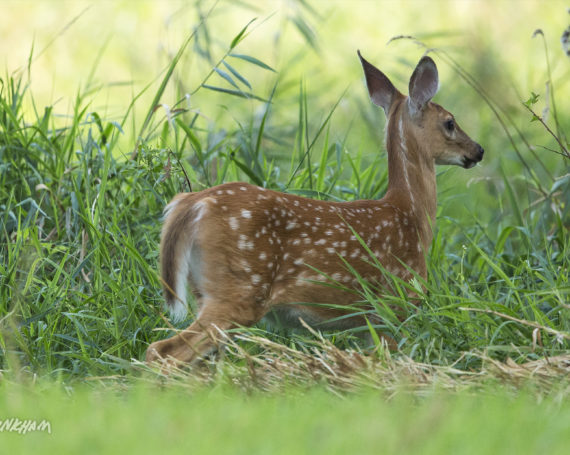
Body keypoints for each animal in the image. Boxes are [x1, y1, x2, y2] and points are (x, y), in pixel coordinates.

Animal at [144, 51, 482, 366]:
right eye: (450, 123)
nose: (478, 150)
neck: (408, 213)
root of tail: (191, 203)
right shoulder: (393, 303)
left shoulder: (369, 322)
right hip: (239, 289)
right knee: (161, 351)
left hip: (205, 289)